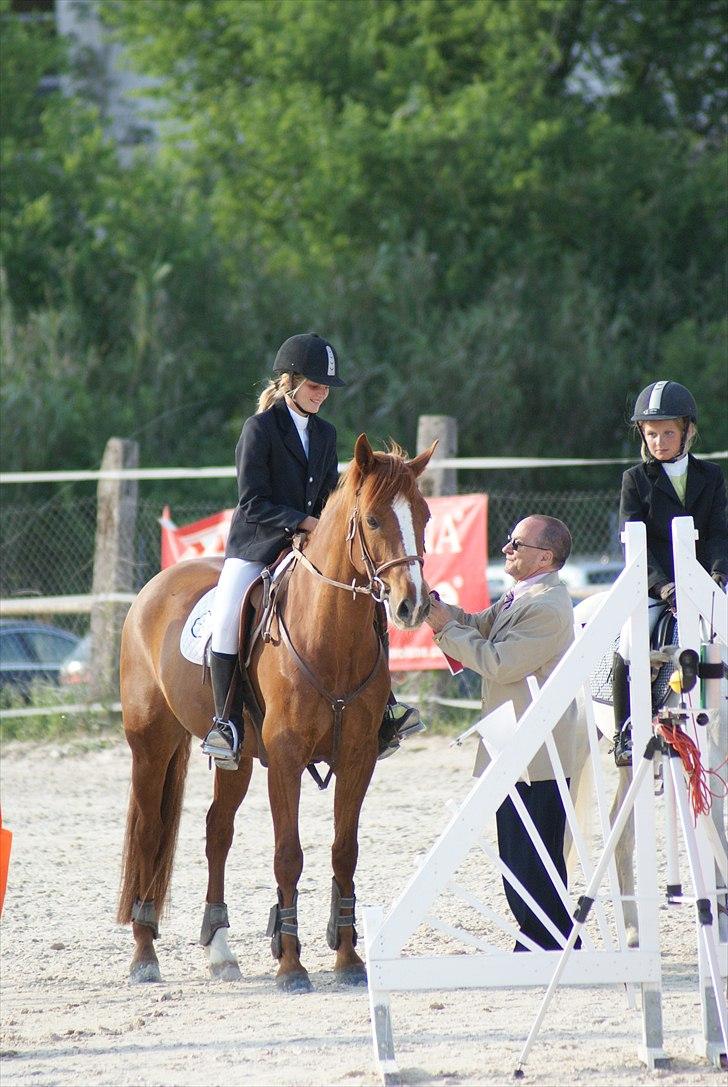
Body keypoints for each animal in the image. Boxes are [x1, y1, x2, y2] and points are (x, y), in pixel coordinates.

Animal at [117, 434, 436, 995]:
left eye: (423, 515)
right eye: (374, 520)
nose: (412, 606)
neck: (330, 634)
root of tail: (154, 587)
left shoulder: (358, 758)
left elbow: (343, 851)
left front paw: (348, 959)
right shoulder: (285, 759)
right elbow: (288, 855)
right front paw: (290, 965)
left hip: (238, 758)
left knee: (217, 831)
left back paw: (220, 951)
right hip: (151, 746)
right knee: (150, 834)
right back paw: (144, 954)